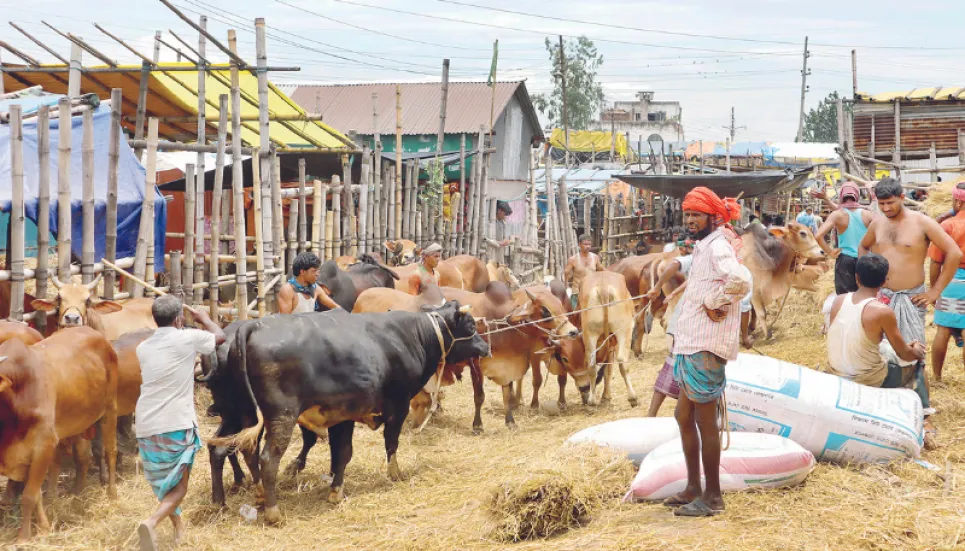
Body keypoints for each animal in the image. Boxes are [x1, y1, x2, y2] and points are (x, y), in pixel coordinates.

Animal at [0, 328, 119, 544]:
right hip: (79, 421)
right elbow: (36, 493)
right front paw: (44, 528)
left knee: (110, 451)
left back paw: (112, 493)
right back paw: (76, 493)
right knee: (83, 455)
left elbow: (29, 496)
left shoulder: (44, 445)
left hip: (110, 409)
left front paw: (23, 537)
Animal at [206, 304, 486, 524]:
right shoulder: (398, 405)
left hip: (240, 413)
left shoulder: (343, 416)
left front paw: (335, 488)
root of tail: (251, 327)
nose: (485, 346)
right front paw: (394, 474)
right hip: (280, 417)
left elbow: (341, 453)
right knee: (265, 458)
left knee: (229, 448)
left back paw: (228, 501)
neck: (409, 335)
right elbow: (390, 443)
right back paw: (273, 511)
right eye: (471, 325)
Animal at [580, 270, 640, 408]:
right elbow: (610, 370)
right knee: (622, 362)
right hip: (623, 331)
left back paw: (592, 401)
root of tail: (603, 287)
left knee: (591, 365)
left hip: (589, 334)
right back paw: (633, 398)